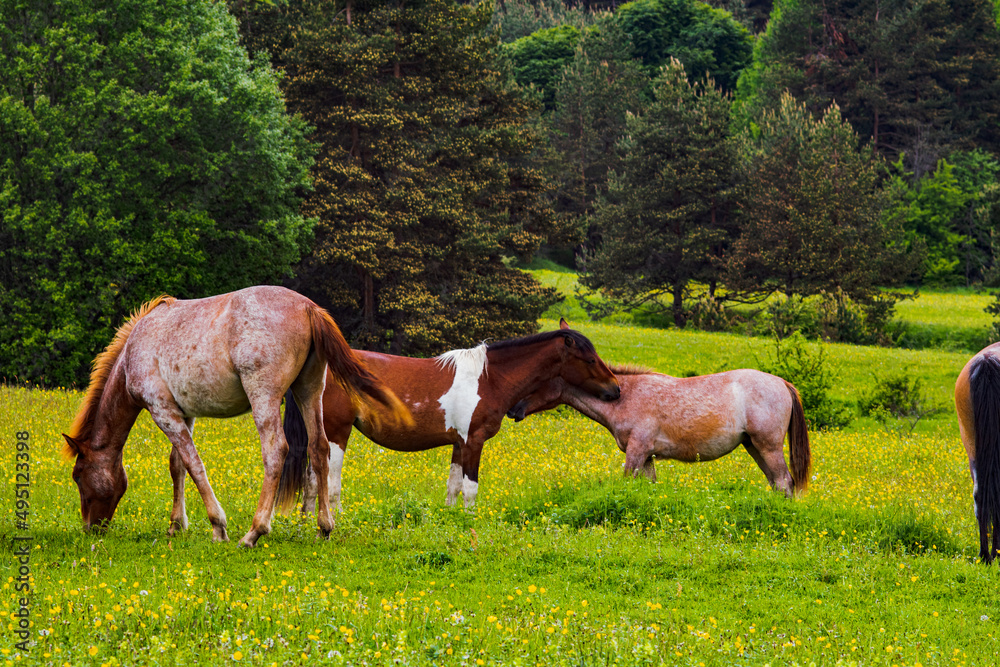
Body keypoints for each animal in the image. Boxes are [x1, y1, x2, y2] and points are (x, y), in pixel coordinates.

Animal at [62, 286, 410, 548]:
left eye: (78, 475)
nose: (90, 528)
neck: (134, 351)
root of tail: (308, 307)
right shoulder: (183, 414)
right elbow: (178, 466)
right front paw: (176, 525)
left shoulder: (164, 413)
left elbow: (194, 465)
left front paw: (218, 527)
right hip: (309, 391)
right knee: (320, 449)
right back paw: (324, 527)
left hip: (265, 398)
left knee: (276, 451)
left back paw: (254, 532)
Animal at [274, 319, 621, 512]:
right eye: (590, 359)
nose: (616, 390)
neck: (488, 378)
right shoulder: (474, 441)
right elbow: (470, 488)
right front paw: (470, 522)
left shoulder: (459, 443)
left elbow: (453, 488)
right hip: (337, 433)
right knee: (328, 482)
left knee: (311, 480)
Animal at [506, 365, 811, 497]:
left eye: (537, 380)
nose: (512, 410)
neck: (623, 397)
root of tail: (782, 383)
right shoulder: (647, 456)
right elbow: (649, 487)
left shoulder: (636, 451)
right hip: (754, 447)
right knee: (776, 482)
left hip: (768, 447)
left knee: (784, 481)